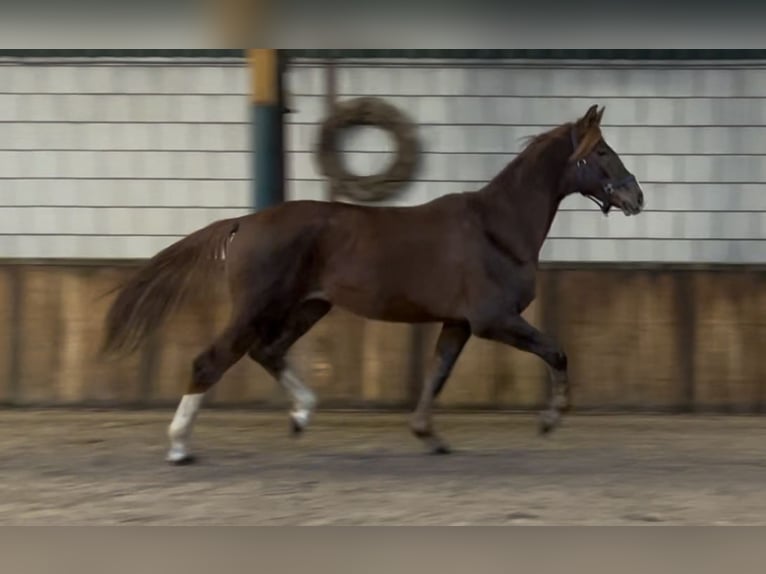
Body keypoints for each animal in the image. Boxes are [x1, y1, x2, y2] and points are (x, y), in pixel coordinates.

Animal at [99, 103, 644, 466]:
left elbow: (437, 373)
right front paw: (550, 420)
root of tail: (244, 222)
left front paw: (429, 436)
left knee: (267, 352)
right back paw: (179, 446)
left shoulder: (458, 323)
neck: (498, 227)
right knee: (211, 361)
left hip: (308, 307)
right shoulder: (494, 320)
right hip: (257, 307)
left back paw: (301, 415)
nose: (637, 196)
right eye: (602, 151)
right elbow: (556, 352)